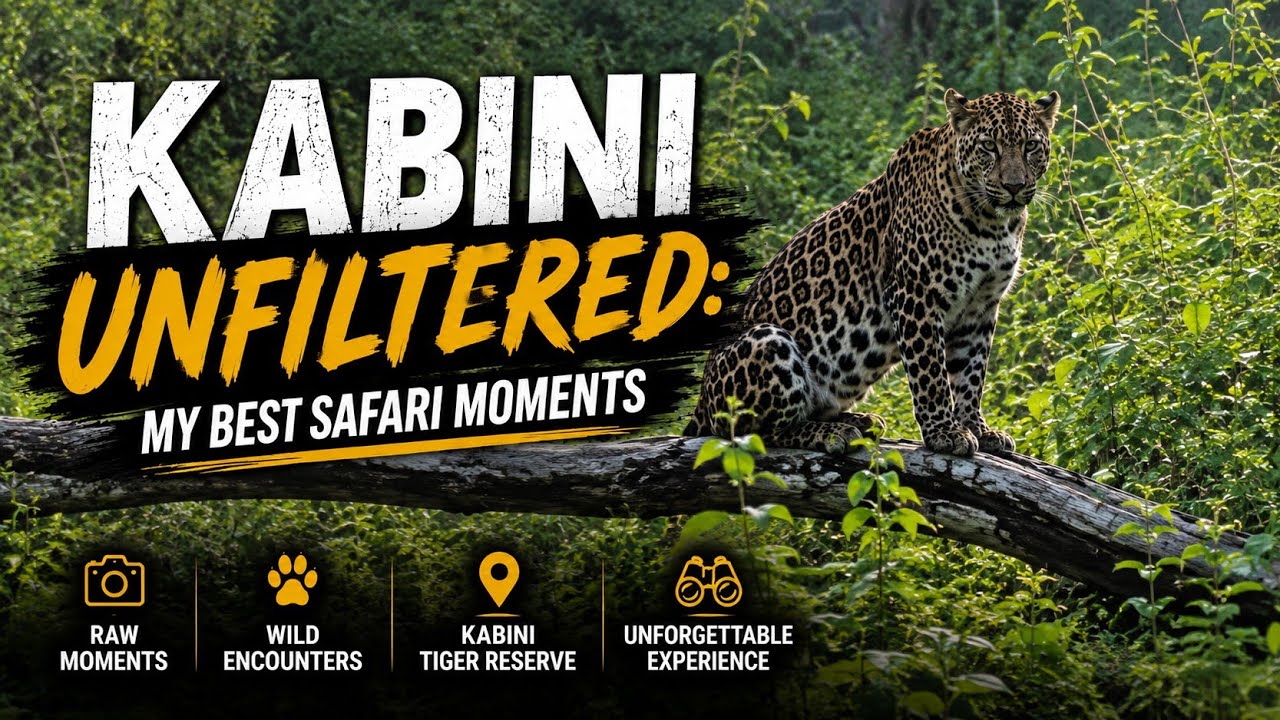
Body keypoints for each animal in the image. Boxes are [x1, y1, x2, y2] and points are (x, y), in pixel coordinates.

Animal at [685, 88, 1060, 457]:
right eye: (988, 146)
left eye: (1030, 145)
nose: (1014, 186)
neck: (993, 223)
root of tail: (701, 406)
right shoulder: (916, 296)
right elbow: (931, 374)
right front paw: (944, 432)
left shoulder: (981, 308)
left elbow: (971, 373)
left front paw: (978, 429)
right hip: (769, 340)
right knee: (757, 434)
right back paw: (833, 433)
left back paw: (861, 421)